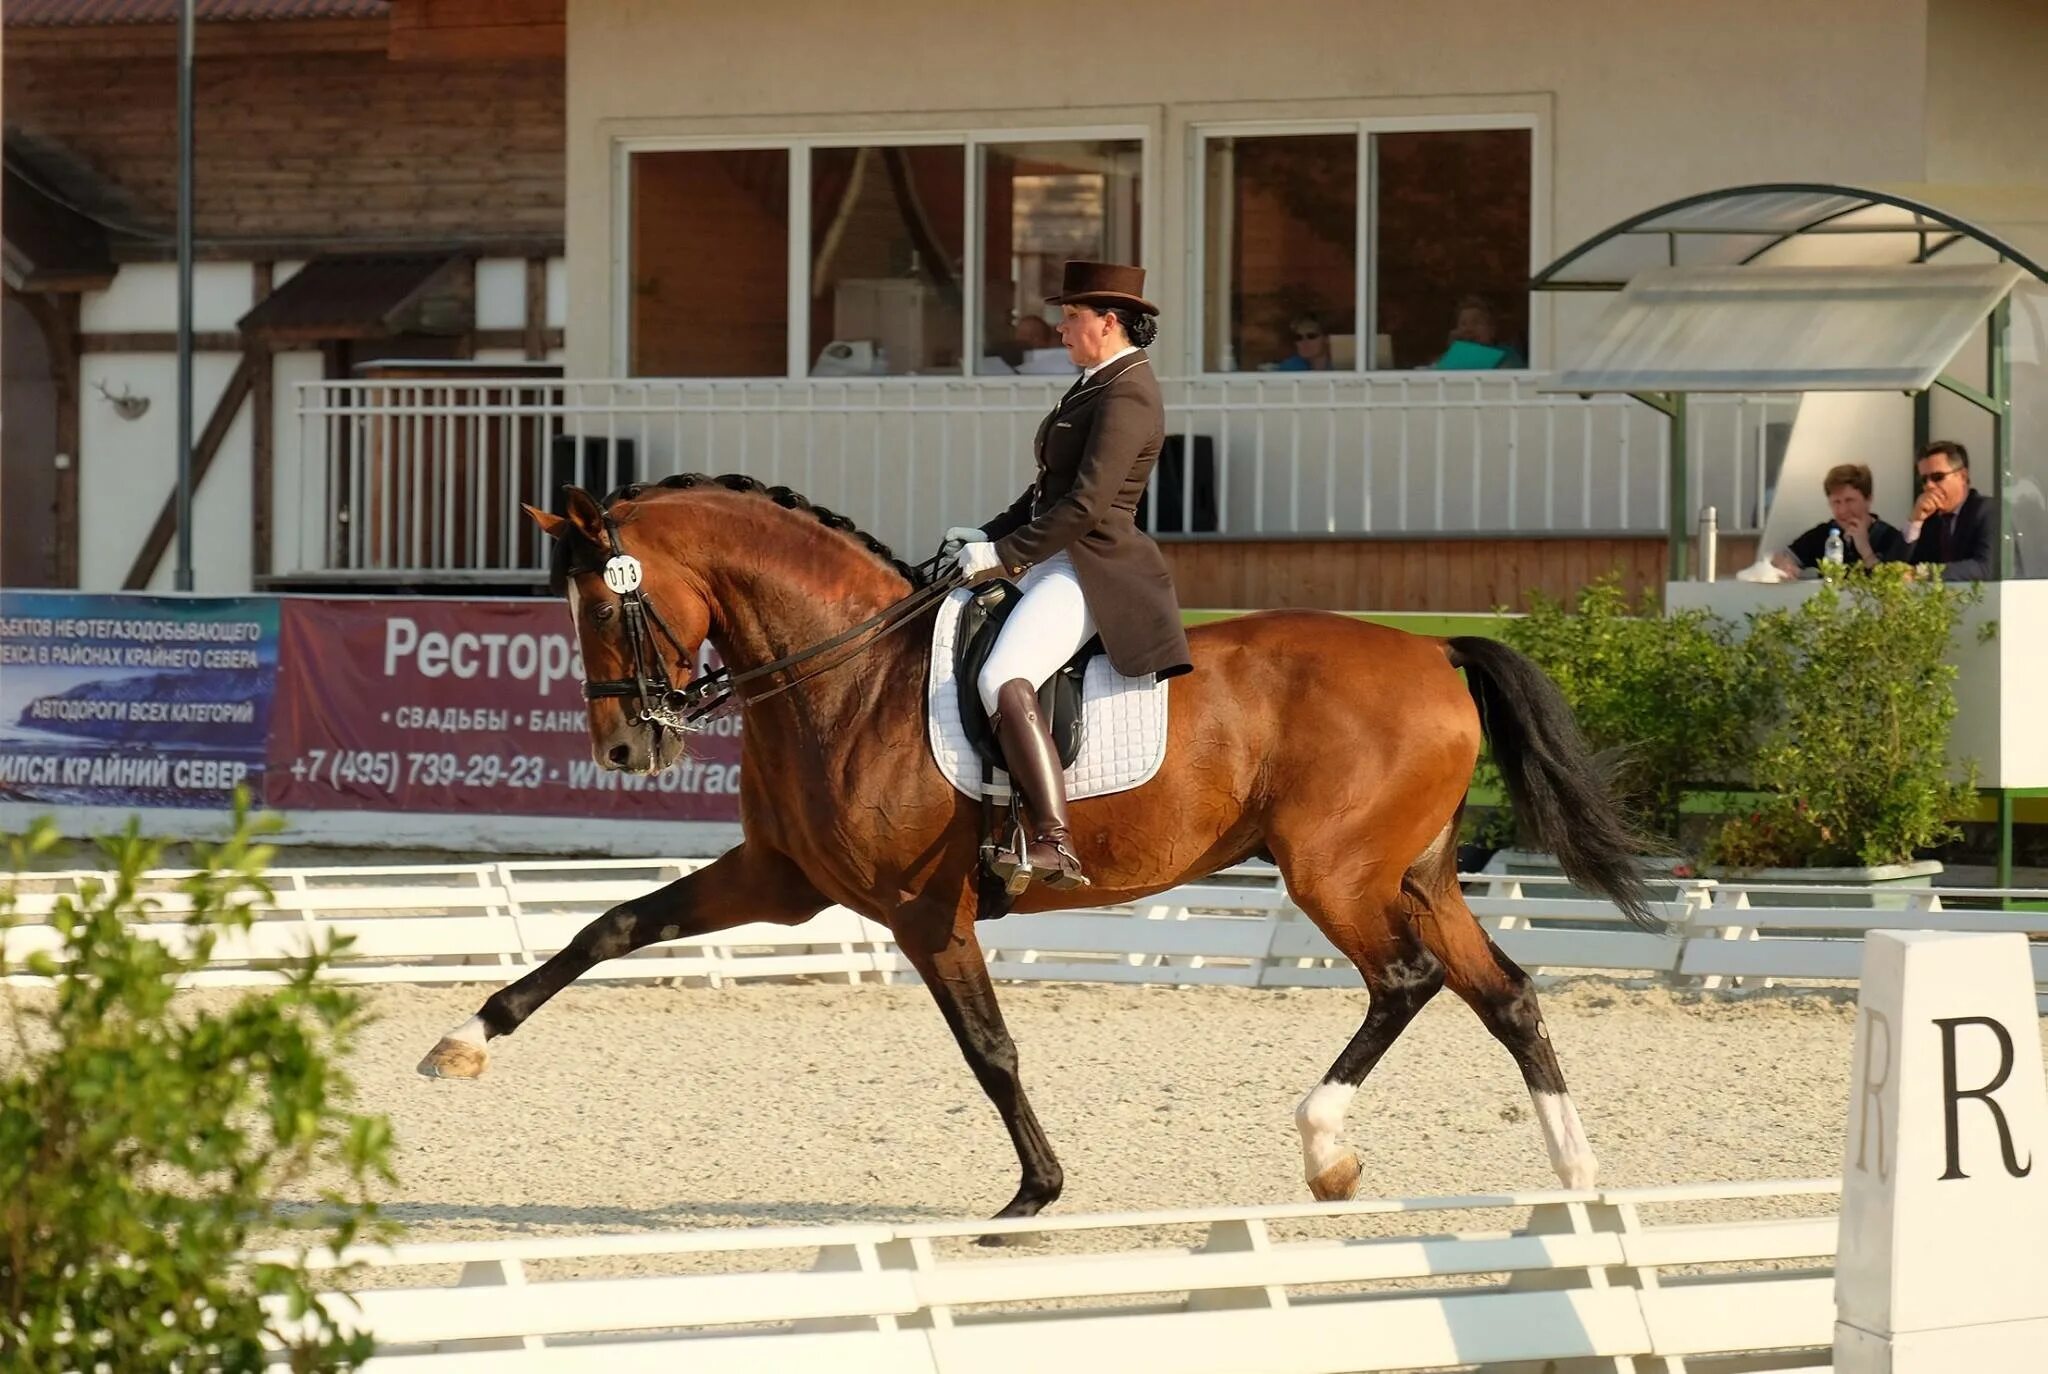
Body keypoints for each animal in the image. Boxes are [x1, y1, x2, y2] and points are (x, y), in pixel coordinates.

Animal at [423, 479, 1654, 1220]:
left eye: (601, 609)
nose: (627, 746)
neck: (843, 677)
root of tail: (1437, 653)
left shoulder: (926, 913)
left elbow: (989, 1048)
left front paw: (1034, 1193)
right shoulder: (780, 881)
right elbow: (609, 926)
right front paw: (462, 1042)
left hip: (1335, 872)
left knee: (1403, 981)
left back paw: (1327, 1150)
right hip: (1415, 872)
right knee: (1504, 994)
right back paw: (1578, 1176)